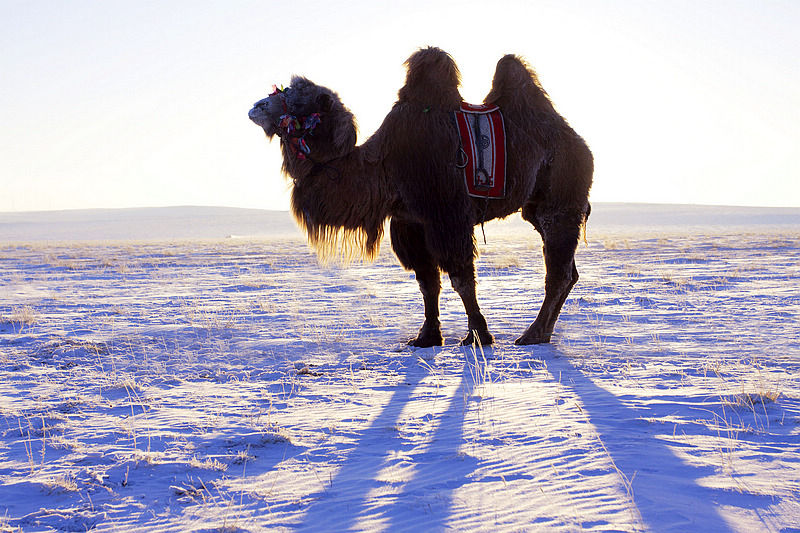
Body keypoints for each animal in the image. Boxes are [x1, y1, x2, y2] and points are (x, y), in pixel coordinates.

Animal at [250, 47, 592, 348]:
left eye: (297, 101)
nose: (256, 106)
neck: (383, 166)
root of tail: (579, 142)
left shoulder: (447, 214)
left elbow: (460, 277)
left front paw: (478, 335)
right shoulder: (410, 222)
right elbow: (427, 281)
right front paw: (427, 337)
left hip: (561, 198)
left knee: (558, 271)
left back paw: (532, 334)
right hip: (535, 207)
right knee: (568, 269)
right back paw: (543, 332)